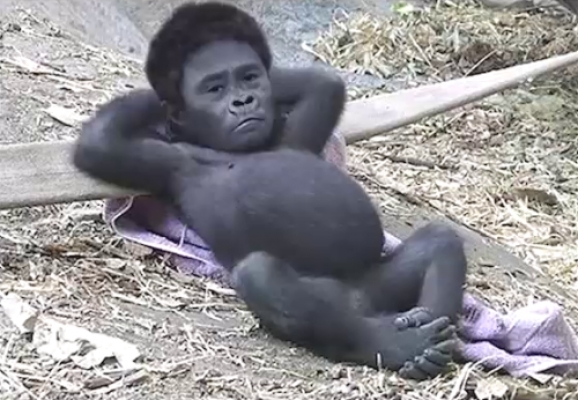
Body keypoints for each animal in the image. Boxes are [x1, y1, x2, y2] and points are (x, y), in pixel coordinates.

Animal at [73, 1, 467, 380]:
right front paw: (160, 98)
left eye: (250, 77)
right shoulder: (167, 161)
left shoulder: (297, 137)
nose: (244, 101)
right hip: (343, 298)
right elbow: (99, 145)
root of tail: (361, 302)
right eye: (215, 88)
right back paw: (394, 344)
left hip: (379, 286)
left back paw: (426, 329)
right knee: (262, 276)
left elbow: (324, 85)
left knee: (441, 242)